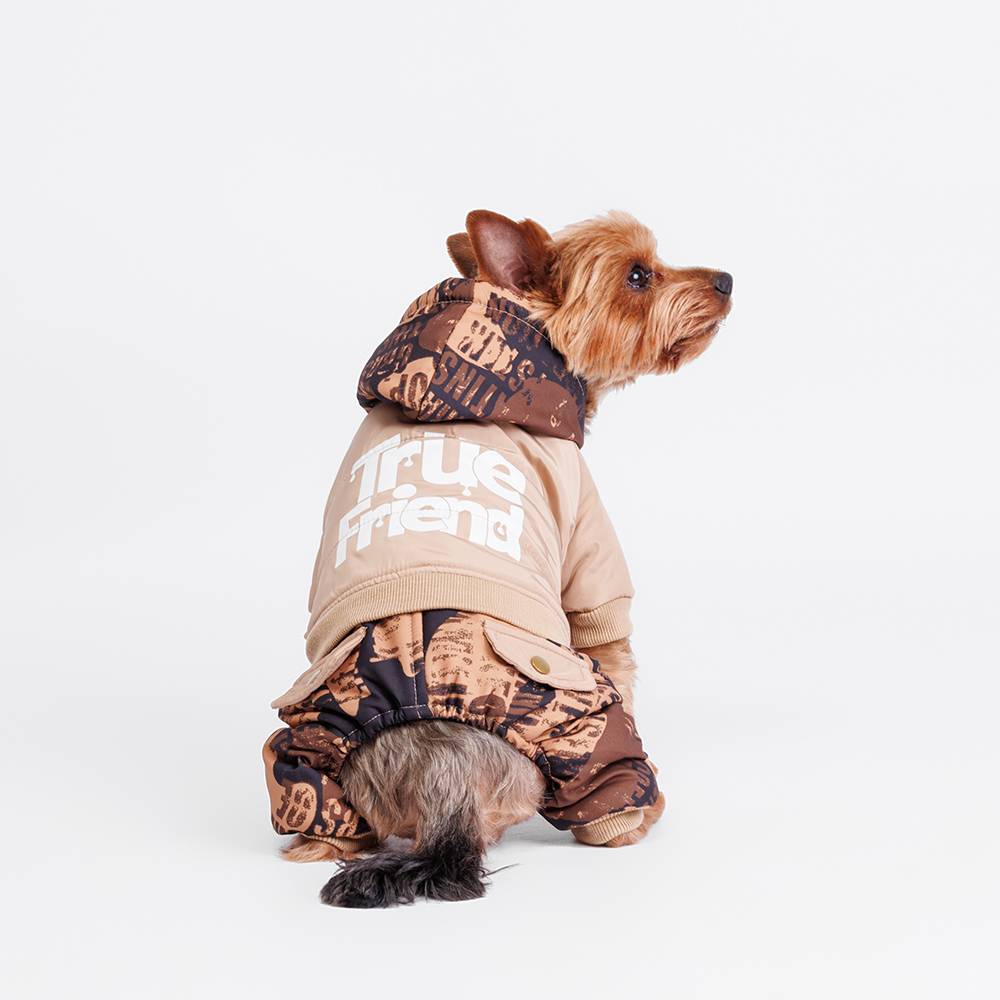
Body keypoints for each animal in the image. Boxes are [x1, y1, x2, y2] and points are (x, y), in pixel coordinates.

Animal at [266, 210, 731, 906]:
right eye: (638, 276)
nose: (727, 280)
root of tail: (445, 768)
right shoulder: (586, 536)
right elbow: (609, 630)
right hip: (582, 731)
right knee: (606, 802)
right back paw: (638, 814)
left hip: (304, 762)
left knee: (320, 830)